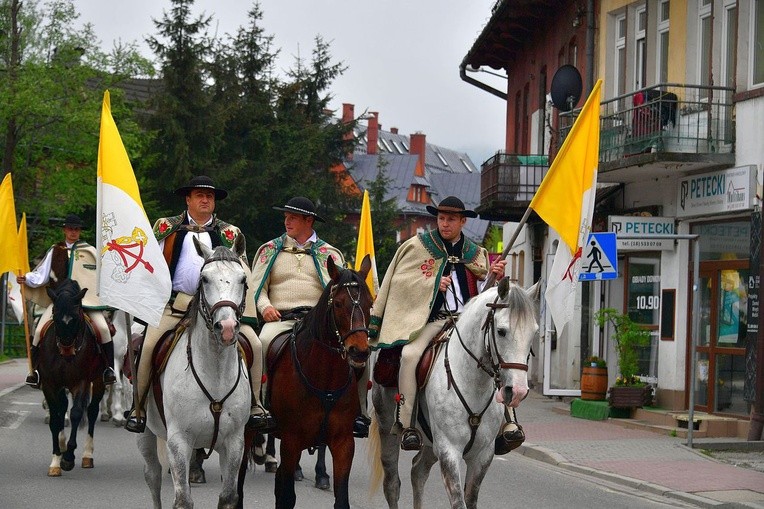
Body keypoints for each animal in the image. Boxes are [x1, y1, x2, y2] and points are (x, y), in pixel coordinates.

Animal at [37, 276, 107, 474]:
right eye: (55, 317)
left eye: (75, 318)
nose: (67, 350)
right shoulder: (49, 384)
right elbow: (55, 418)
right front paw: (56, 461)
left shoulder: (80, 382)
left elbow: (76, 413)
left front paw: (68, 457)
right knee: (61, 410)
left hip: (98, 381)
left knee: (91, 411)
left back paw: (86, 456)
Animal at [137, 239, 251, 508]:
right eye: (204, 279)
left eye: (243, 279)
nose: (227, 328)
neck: (214, 373)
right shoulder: (179, 441)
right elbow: (183, 500)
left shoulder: (234, 443)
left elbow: (228, 496)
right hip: (146, 434)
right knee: (153, 476)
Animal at [236, 256, 374, 506]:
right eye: (338, 304)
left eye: (370, 303)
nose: (359, 351)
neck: (325, 380)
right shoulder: (291, 441)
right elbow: (287, 496)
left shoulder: (343, 443)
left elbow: (341, 499)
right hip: (247, 432)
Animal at [368, 278, 536, 508]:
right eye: (501, 331)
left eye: (533, 332)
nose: (518, 391)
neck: (473, 385)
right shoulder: (449, 451)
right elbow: (459, 502)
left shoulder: (482, 456)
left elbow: (470, 499)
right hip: (388, 429)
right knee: (392, 484)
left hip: (431, 444)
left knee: (417, 472)